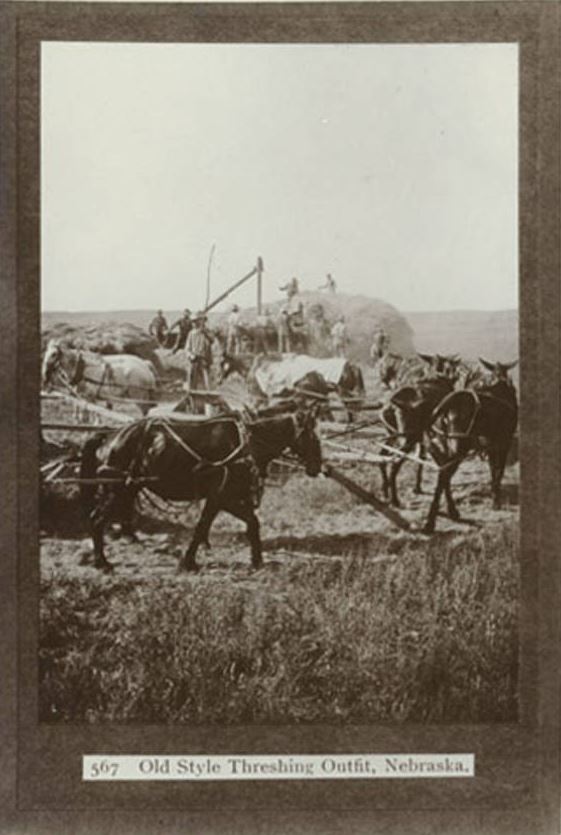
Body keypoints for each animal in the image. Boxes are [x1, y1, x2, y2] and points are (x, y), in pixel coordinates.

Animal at [81, 414, 322, 576]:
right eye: (313, 437)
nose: (318, 467)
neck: (245, 445)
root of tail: (109, 436)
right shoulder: (220, 497)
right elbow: (202, 528)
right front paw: (188, 563)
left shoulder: (224, 498)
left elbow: (252, 524)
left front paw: (257, 562)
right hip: (115, 490)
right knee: (96, 519)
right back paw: (102, 563)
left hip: (128, 488)